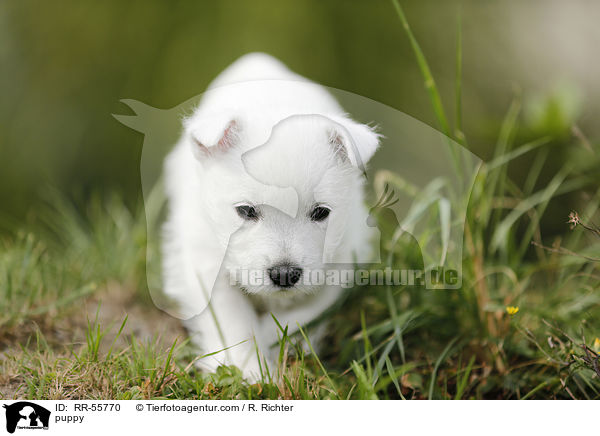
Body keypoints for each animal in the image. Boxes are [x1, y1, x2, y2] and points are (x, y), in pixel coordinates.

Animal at [162, 52, 380, 380]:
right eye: (246, 211)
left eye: (321, 212)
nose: (284, 274)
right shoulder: (205, 260)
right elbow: (232, 319)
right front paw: (249, 370)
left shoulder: (341, 261)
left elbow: (302, 313)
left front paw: (276, 344)